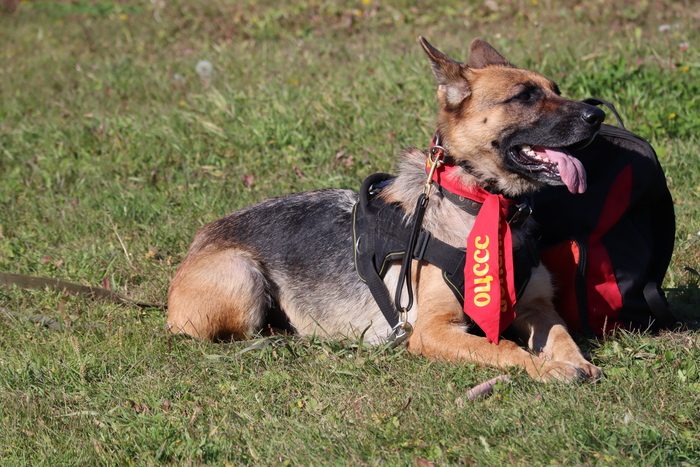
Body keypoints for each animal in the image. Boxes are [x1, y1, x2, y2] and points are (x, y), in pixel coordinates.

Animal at [167, 37, 605, 383]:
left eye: (555, 89)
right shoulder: (432, 330)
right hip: (242, 275)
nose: (598, 114)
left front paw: (577, 361)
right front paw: (547, 367)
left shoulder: (537, 307)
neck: (483, 204)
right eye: (524, 96)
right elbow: (504, 349)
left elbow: (562, 335)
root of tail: (199, 241)